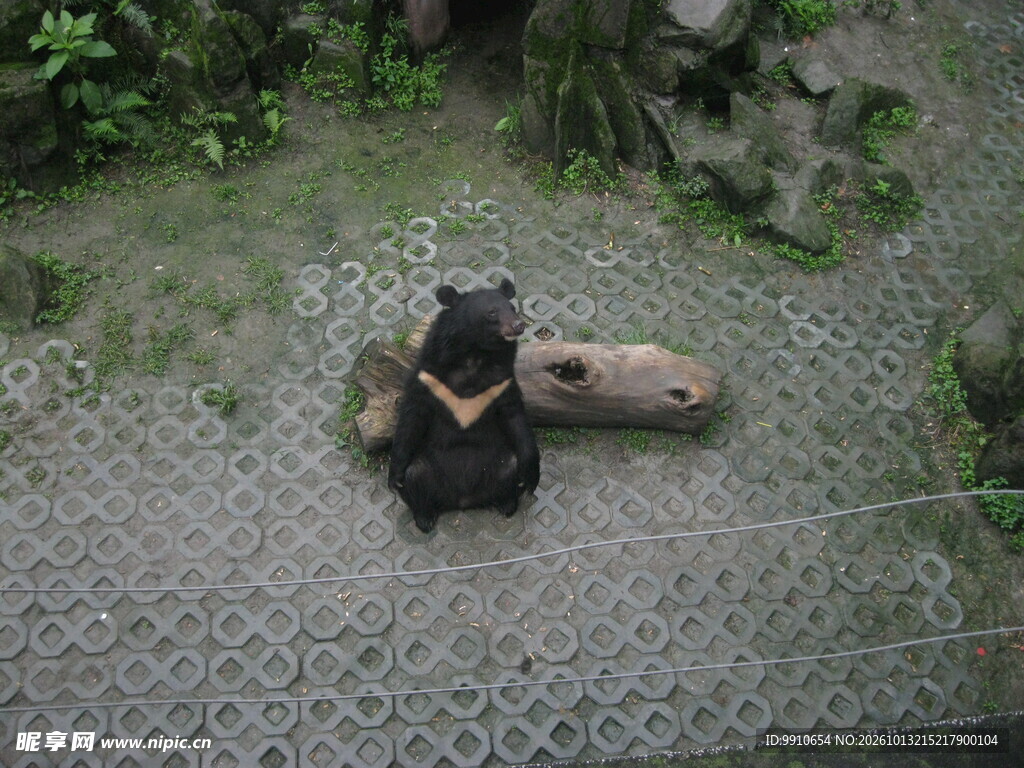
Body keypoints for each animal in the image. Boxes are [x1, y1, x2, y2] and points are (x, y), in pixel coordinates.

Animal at [388, 278, 540, 533]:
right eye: (492, 312)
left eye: (512, 308)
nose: (518, 325)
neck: (475, 355)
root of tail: (462, 499)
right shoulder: (428, 378)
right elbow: (412, 417)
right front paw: (394, 477)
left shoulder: (502, 383)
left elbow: (516, 419)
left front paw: (531, 478)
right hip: (428, 471)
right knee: (415, 477)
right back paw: (424, 518)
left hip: (497, 466)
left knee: (510, 468)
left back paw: (507, 503)